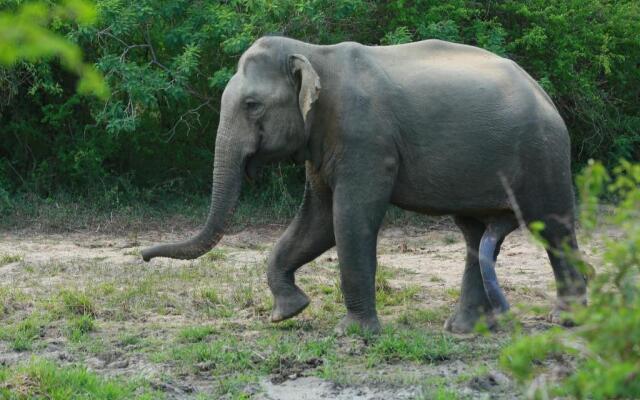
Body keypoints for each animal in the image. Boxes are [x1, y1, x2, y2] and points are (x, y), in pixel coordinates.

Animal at [142, 35, 588, 334]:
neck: (313, 52)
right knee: (474, 234)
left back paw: (565, 320)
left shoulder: (366, 140)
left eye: (252, 105)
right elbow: (317, 222)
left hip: (542, 154)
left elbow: (349, 218)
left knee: (553, 228)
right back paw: (465, 329)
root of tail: (542, 92)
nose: (144, 257)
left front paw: (353, 333)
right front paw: (288, 311)